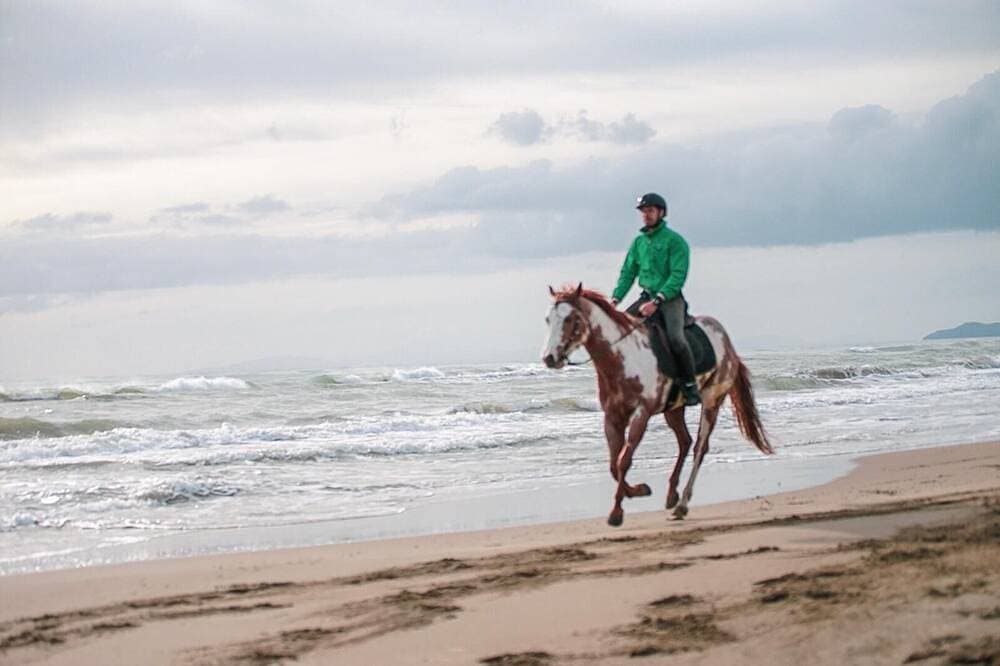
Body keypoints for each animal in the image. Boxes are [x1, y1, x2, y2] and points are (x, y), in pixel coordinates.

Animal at [541, 283, 773, 525]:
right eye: (548, 319)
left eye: (570, 319)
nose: (550, 358)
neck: (623, 359)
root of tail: (726, 340)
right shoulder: (612, 417)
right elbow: (614, 464)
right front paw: (639, 490)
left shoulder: (641, 415)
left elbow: (624, 460)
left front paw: (617, 512)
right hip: (674, 409)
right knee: (685, 441)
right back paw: (672, 495)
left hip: (712, 402)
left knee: (700, 447)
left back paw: (682, 505)